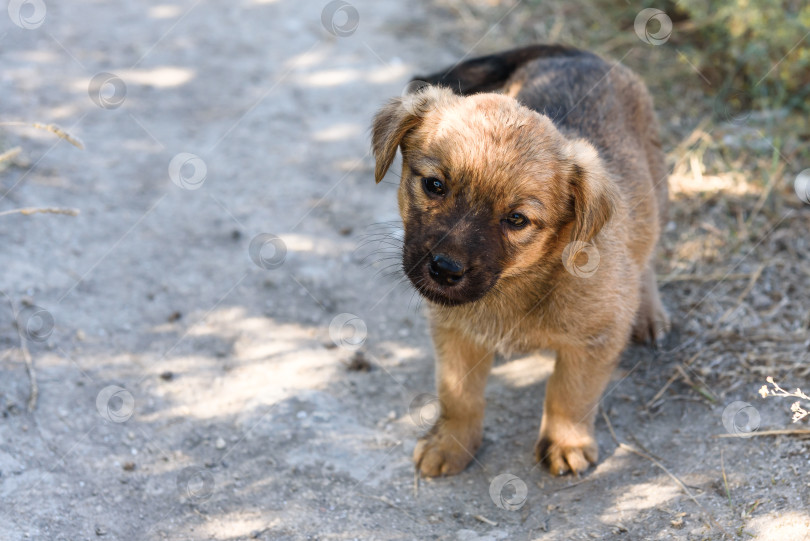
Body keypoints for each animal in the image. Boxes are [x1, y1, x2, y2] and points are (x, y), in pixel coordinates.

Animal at [372, 46, 668, 476]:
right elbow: (458, 396)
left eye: (516, 219)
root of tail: (579, 53)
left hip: (657, 190)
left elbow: (569, 394)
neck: (517, 284)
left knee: (648, 254)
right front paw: (451, 443)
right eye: (434, 185)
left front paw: (565, 444)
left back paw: (648, 313)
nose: (444, 269)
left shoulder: (596, 339)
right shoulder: (454, 333)